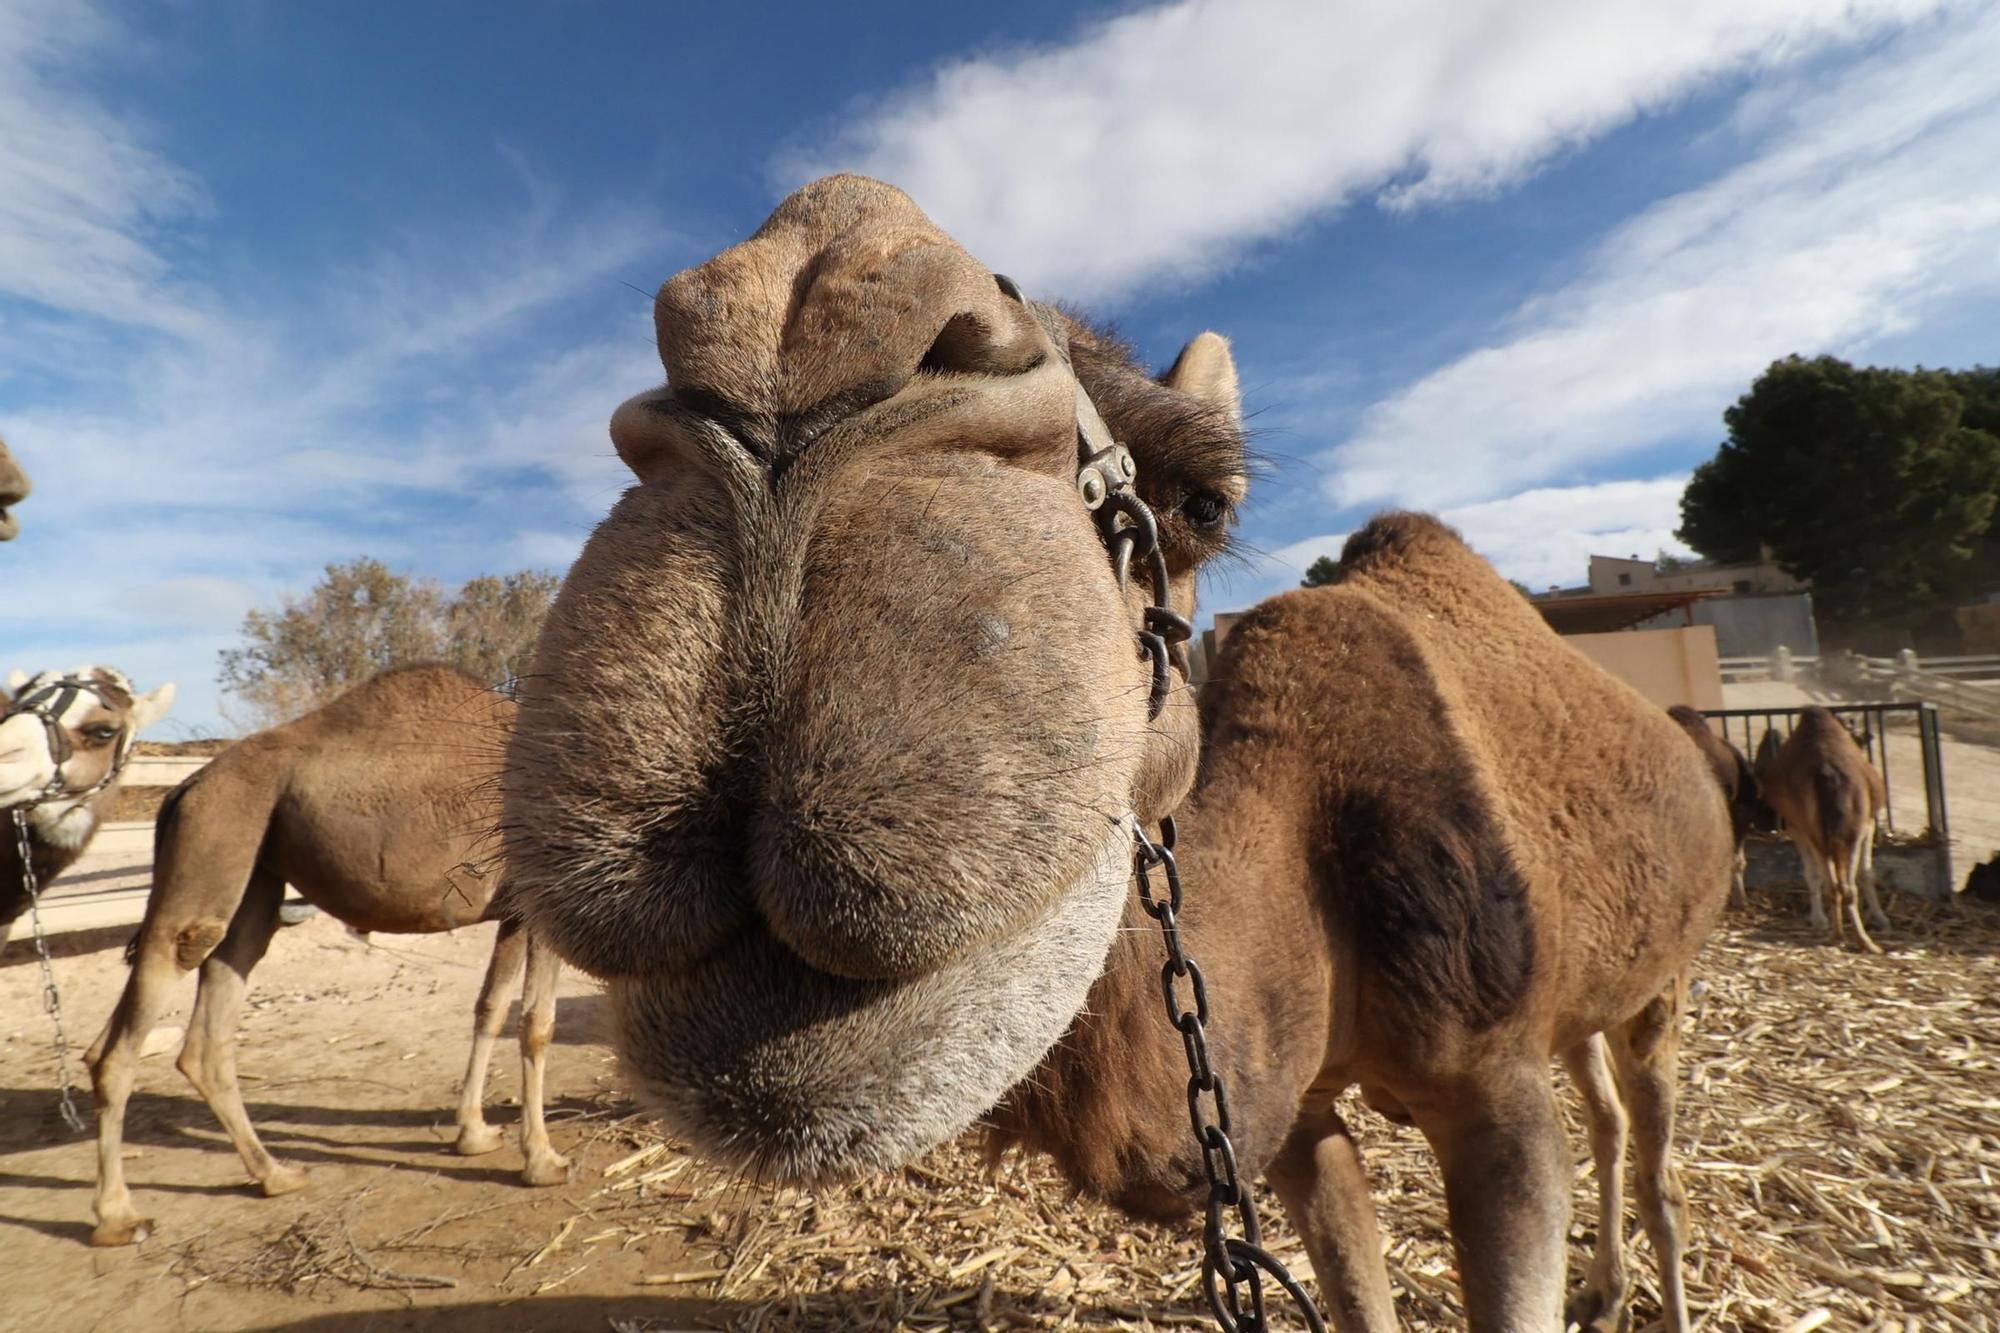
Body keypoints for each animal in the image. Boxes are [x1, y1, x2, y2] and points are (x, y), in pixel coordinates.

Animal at [87, 664, 572, 1248]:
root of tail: (184, 788)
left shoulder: (513, 912)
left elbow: (490, 1009)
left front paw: (474, 1133)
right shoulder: (544, 903)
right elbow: (537, 1024)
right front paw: (543, 1161)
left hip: (251, 872)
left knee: (204, 1020)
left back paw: (275, 1174)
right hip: (213, 843)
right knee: (139, 1019)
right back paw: (118, 1216)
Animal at [492, 176, 1728, 1328]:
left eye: (1207, 501)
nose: (799, 321)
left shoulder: (1495, 1086)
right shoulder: (1287, 1110)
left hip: (1666, 978)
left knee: (1651, 1145)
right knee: (1609, 1110)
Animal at [1752, 704, 1888, 944]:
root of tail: (1827, 773)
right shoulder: (1869, 821)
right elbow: (1866, 872)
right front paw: (1880, 918)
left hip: (1815, 829)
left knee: (1830, 880)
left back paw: (1838, 931)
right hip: (1839, 827)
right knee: (1839, 880)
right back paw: (1850, 934)